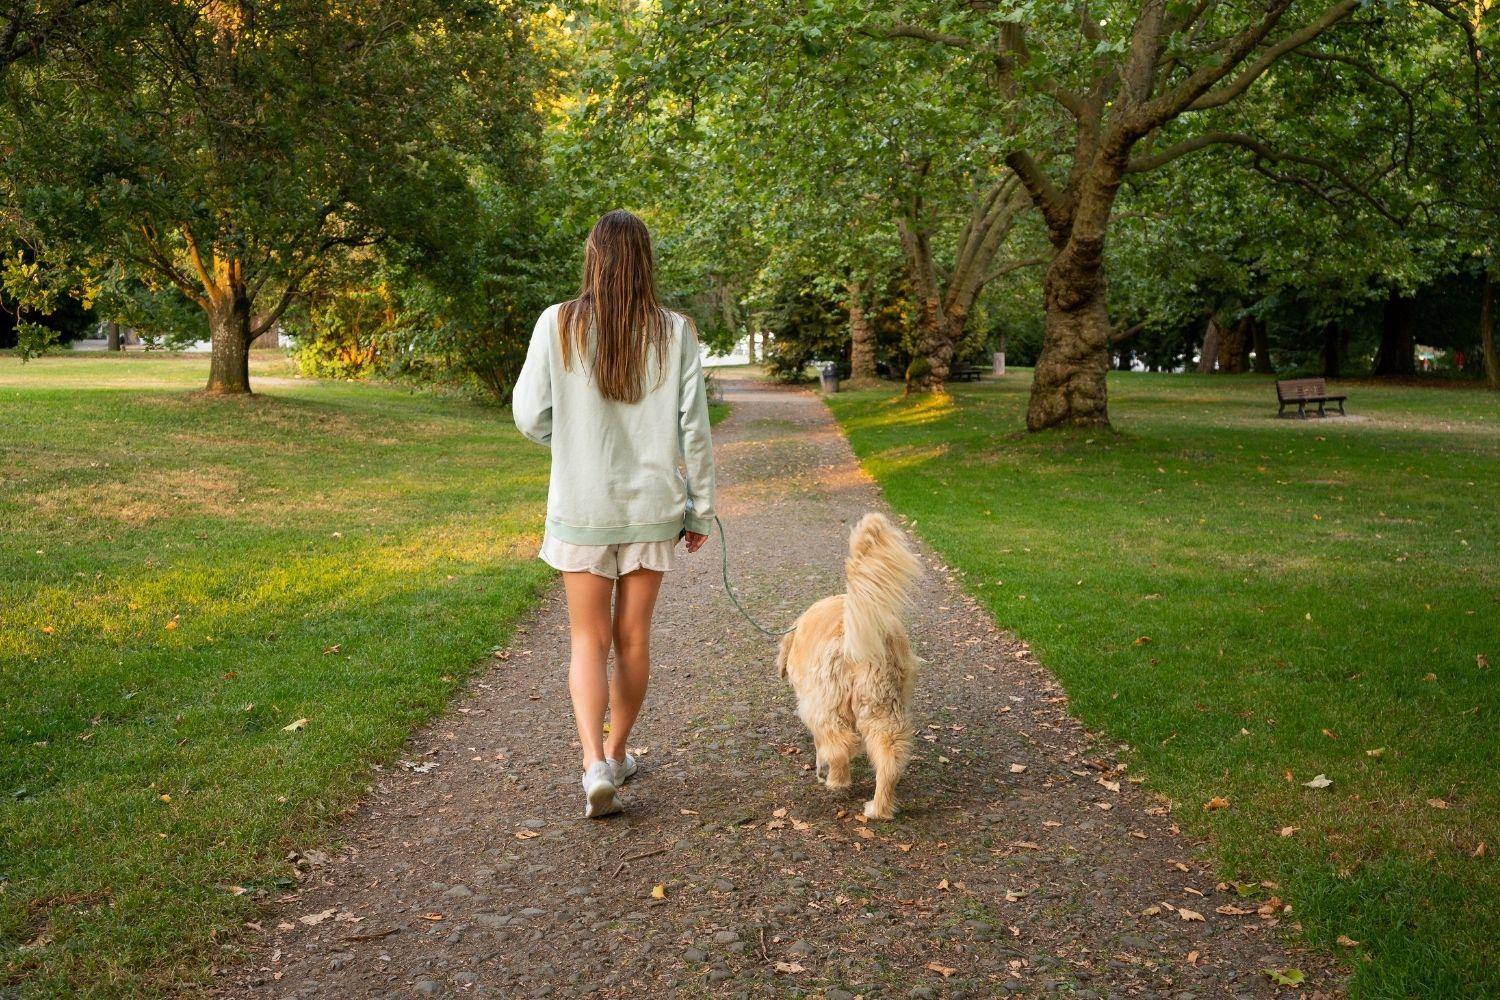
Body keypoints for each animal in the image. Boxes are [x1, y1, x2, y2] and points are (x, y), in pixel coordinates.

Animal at [780, 515, 918, 821]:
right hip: (883, 707)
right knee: (889, 758)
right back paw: (879, 809)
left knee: (840, 743)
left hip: (827, 706)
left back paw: (836, 782)